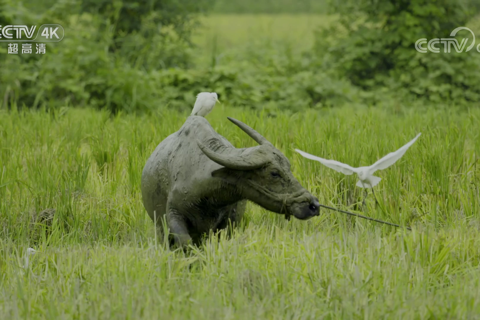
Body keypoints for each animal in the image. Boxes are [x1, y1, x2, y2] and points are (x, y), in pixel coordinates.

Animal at [141, 116, 320, 246]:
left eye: (288, 166)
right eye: (274, 173)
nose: (314, 205)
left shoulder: (229, 222)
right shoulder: (173, 216)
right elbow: (185, 244)